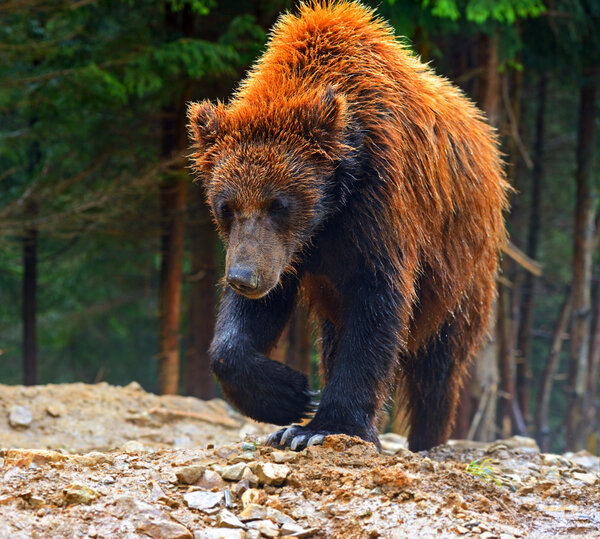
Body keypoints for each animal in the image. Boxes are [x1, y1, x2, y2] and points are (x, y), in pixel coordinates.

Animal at [186, 2, 506, 454]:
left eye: (278, 204)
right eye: (226, 206)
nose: (243, 278)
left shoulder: (379, 204)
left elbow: (376, 302)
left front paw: (323, 425)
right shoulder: (291, 251)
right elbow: (245, 327)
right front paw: (292, 397)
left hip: (462, 266)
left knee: (440, 361)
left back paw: (428, 438)